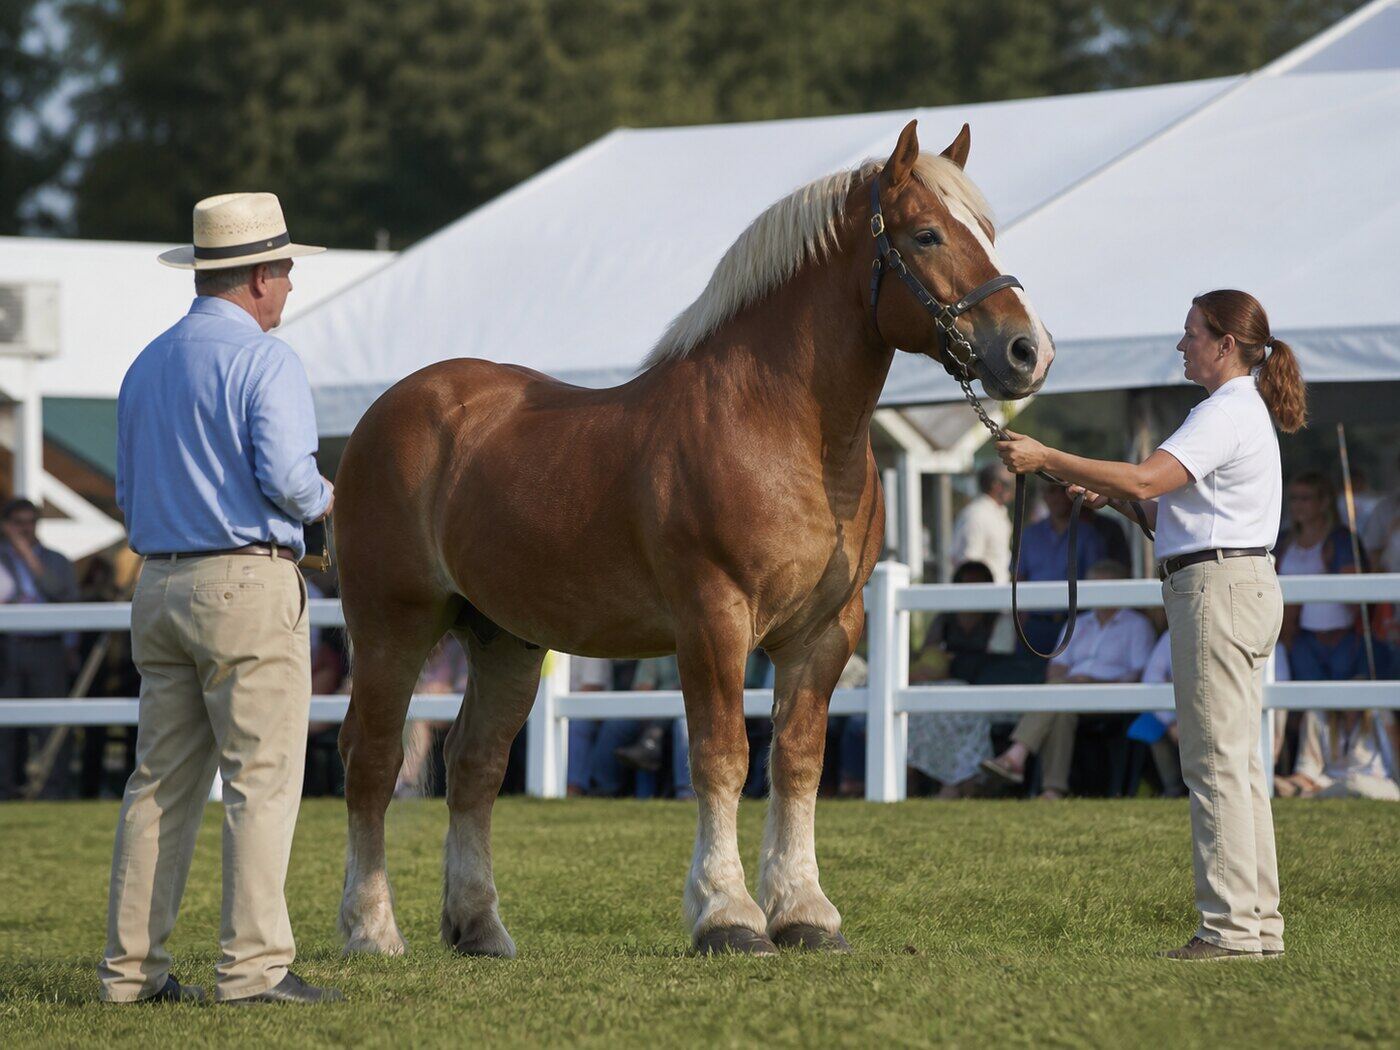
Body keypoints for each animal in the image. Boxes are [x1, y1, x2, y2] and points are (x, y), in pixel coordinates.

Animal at [334, 119, 1053, 958]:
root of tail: (392, 410)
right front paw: (729, 914)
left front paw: (805, 912)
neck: (782, 430)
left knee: (473, 765)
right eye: (928, 234)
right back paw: (371, 929)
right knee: (373, 760)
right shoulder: (714, 622)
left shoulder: (826, 633)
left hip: (504, 639)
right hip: (392, 625)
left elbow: (796, 761)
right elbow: (723, 756)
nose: (1028, 351)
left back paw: (479, 926)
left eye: (988, 233)